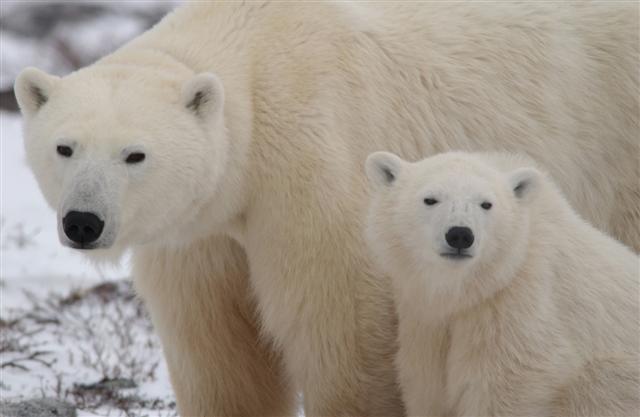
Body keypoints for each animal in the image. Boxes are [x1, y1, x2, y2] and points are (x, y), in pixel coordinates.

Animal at [364, 150, 640, 416]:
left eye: (486, 204)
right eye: (430, 199)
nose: (460, 235)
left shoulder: (516, 314)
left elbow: (504, 390)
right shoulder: (425, 324)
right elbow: (427, 388)